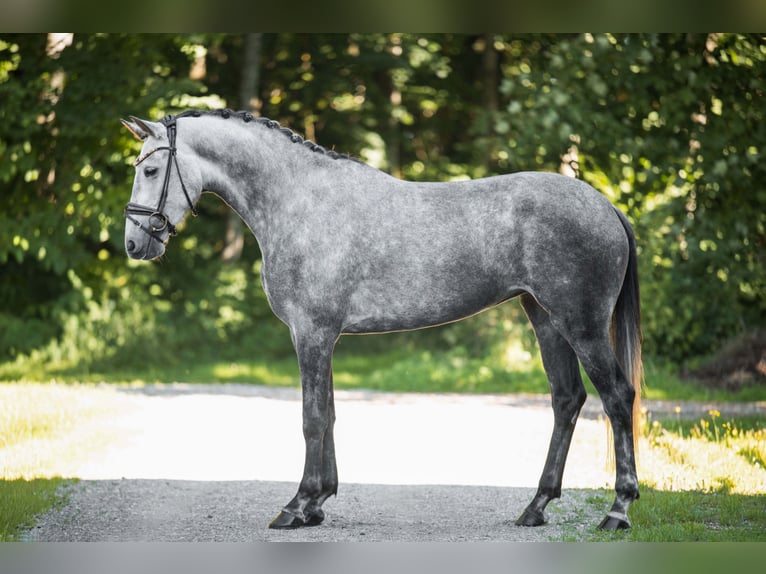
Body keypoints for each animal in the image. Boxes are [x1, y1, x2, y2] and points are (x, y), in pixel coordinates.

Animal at [120, 109, 643, 531]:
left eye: (150, 169)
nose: (133, 244)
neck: (300, 202)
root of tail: (605, 206)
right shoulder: (324, 336)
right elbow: (329, 413)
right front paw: (318, 504)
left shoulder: (311, 333)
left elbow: (312, 417)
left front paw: (297, 506)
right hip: (546, 319)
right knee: (567, 400)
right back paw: (535, 507)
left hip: (582, 326)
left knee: (617, 397)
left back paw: (618, 511)